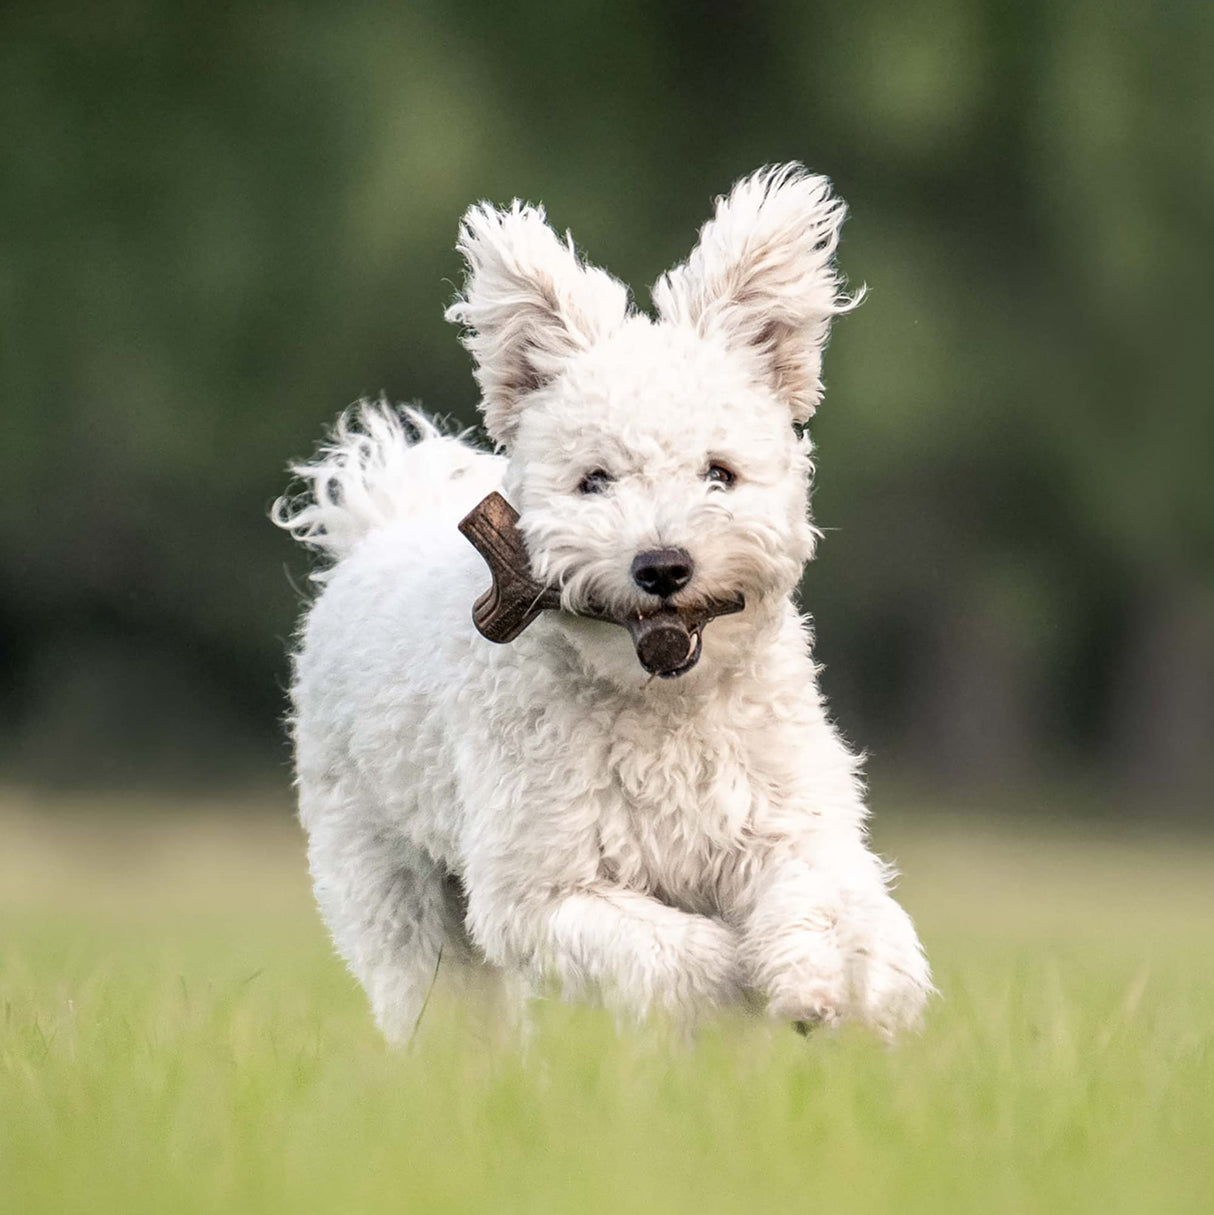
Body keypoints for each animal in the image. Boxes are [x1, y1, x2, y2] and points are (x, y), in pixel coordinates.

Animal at [275, 164, 928, 1044]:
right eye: (594, 480)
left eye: (718, 472)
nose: (662, 566)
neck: (664, 707)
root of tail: (380, 518)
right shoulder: (543, 889)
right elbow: (680, 954)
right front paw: (745, 987)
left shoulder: (787, 819)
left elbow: (825, 897)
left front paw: (842, 981)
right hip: (389, 877)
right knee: (440, 993)